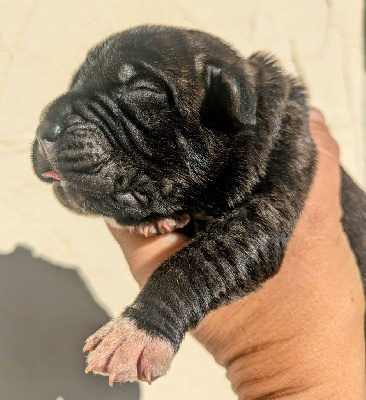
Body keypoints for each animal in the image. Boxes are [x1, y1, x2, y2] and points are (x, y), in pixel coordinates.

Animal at [32, 24, 366, 384]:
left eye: (142, 88)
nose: (43, 128)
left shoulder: (268, 203)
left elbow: (197, 260)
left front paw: (137, 331)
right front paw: (156, 220)